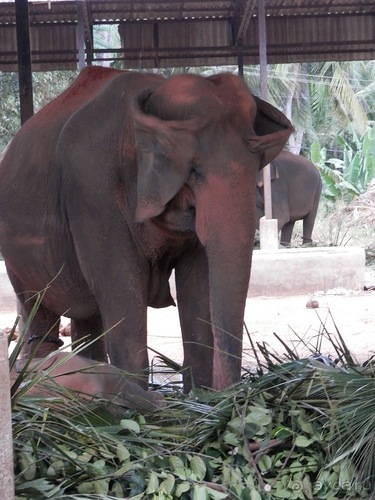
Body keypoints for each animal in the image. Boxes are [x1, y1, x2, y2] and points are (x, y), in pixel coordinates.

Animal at [0, 67, 294, 390]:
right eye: (194, 171)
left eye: (256, 166)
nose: (231, 395)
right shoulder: (93, 192)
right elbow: (122, 286)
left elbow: (197, 283)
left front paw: (201, 397)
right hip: (15, 256)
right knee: (38, 309)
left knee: (88, 319)